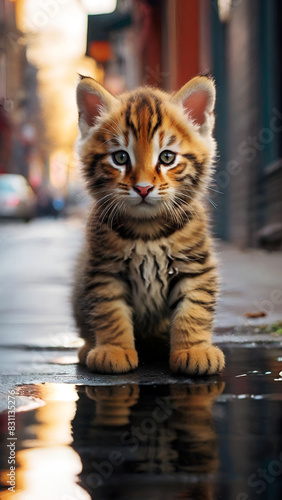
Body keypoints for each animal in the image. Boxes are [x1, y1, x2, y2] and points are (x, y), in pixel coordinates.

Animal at [72, 74, 225, 376]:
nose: (143, 188)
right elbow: (109, 312)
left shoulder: (196, 267)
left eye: (167, 157)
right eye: (120, 157)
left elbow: (194, 310)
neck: (148, 229)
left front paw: (194, 351)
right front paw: (113, 351)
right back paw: (88, 348)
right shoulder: (104, 270)